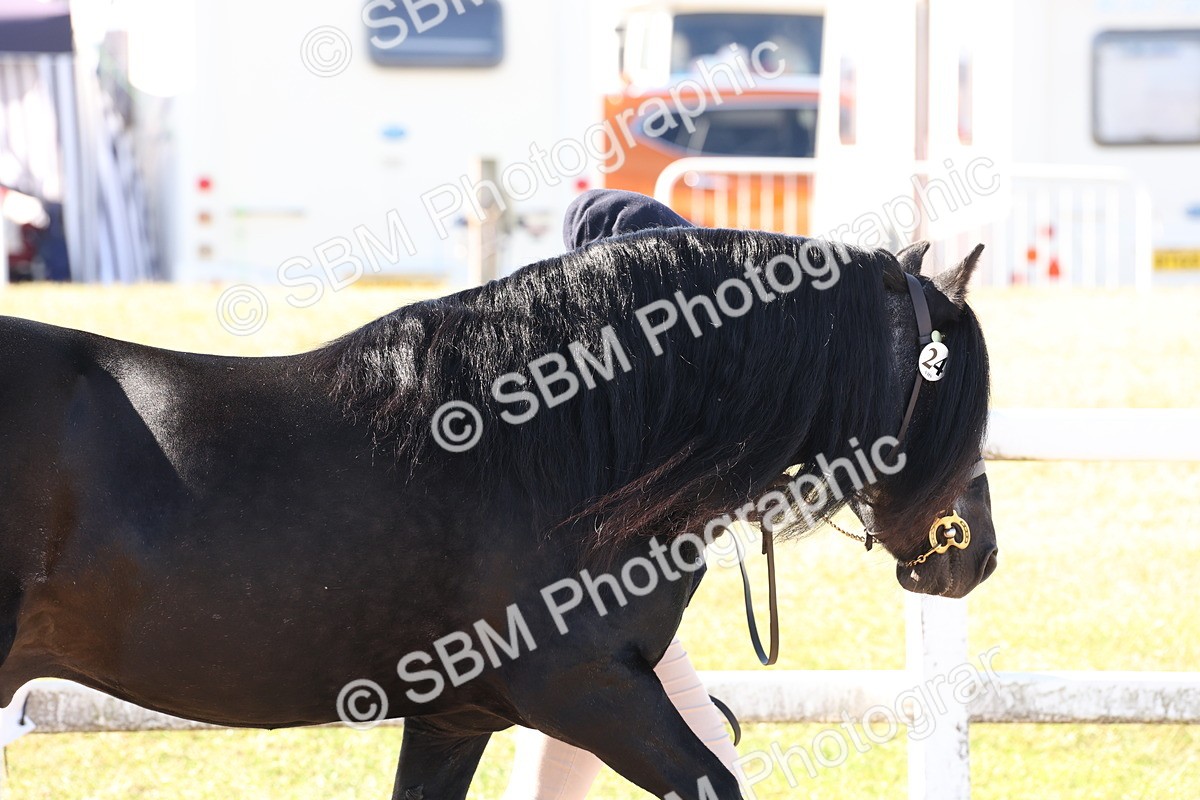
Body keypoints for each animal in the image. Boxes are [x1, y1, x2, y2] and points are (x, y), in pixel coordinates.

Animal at [0, 227, 996, 799]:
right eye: (950, 389)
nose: (972, 554)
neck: (556, 451)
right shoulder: (587, 691)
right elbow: (714, 784)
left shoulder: (456, 717)